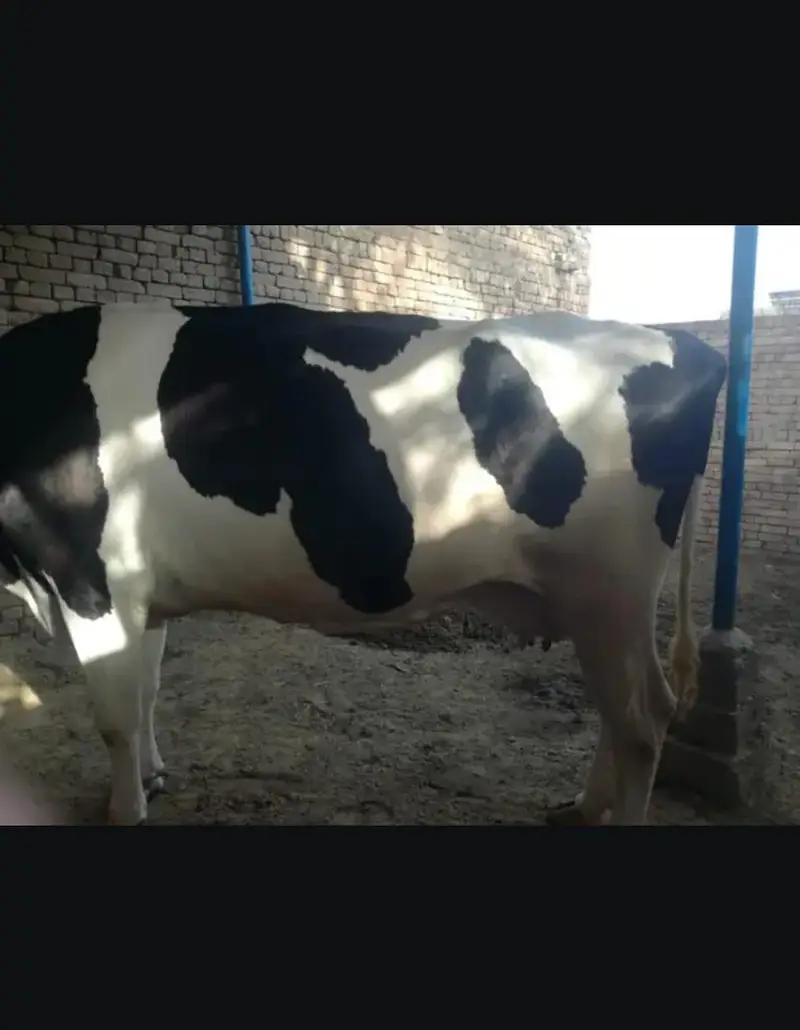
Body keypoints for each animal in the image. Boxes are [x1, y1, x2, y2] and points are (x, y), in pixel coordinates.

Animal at [0, 300, 727, 826]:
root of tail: (677, 339)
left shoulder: (92, 580)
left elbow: (115, 719)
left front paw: (125, 808)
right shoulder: (141, 590)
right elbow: (147, 692)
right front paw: (152, 778)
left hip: (611, 590)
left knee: (643, 719)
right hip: (594, 602)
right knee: (620, 710)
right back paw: (584, 806)